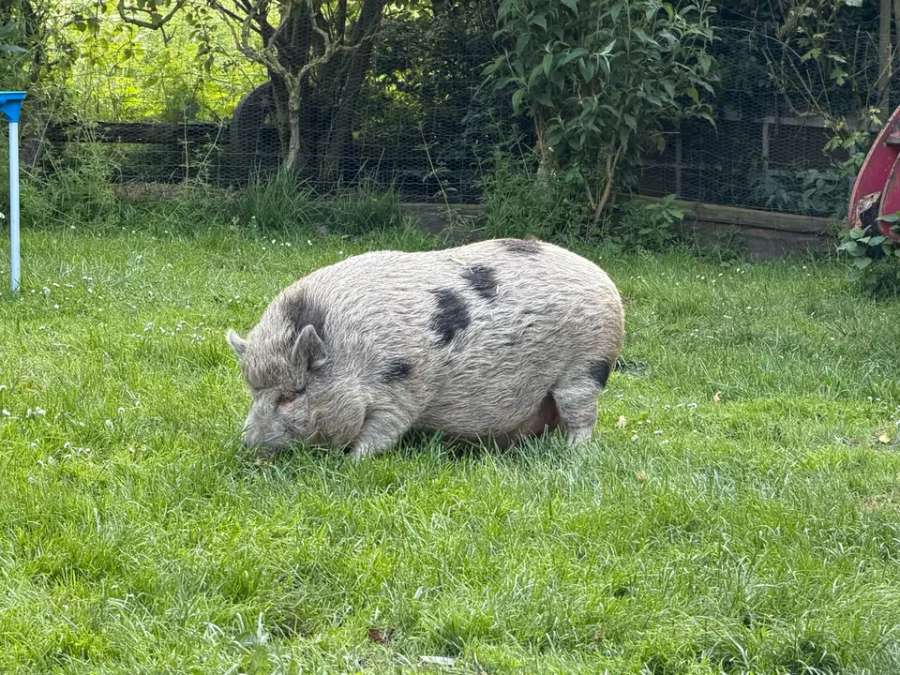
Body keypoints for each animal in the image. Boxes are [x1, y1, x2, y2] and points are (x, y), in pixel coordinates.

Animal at [227, 238, 624, 459]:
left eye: (292, 395)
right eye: (254, 392)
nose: (246, 445)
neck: (354, 357)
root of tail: (603, 278)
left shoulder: (405, 388)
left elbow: (382, 433)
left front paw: (351, 462)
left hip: (586, 364)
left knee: (581, 415)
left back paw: (572, 453)